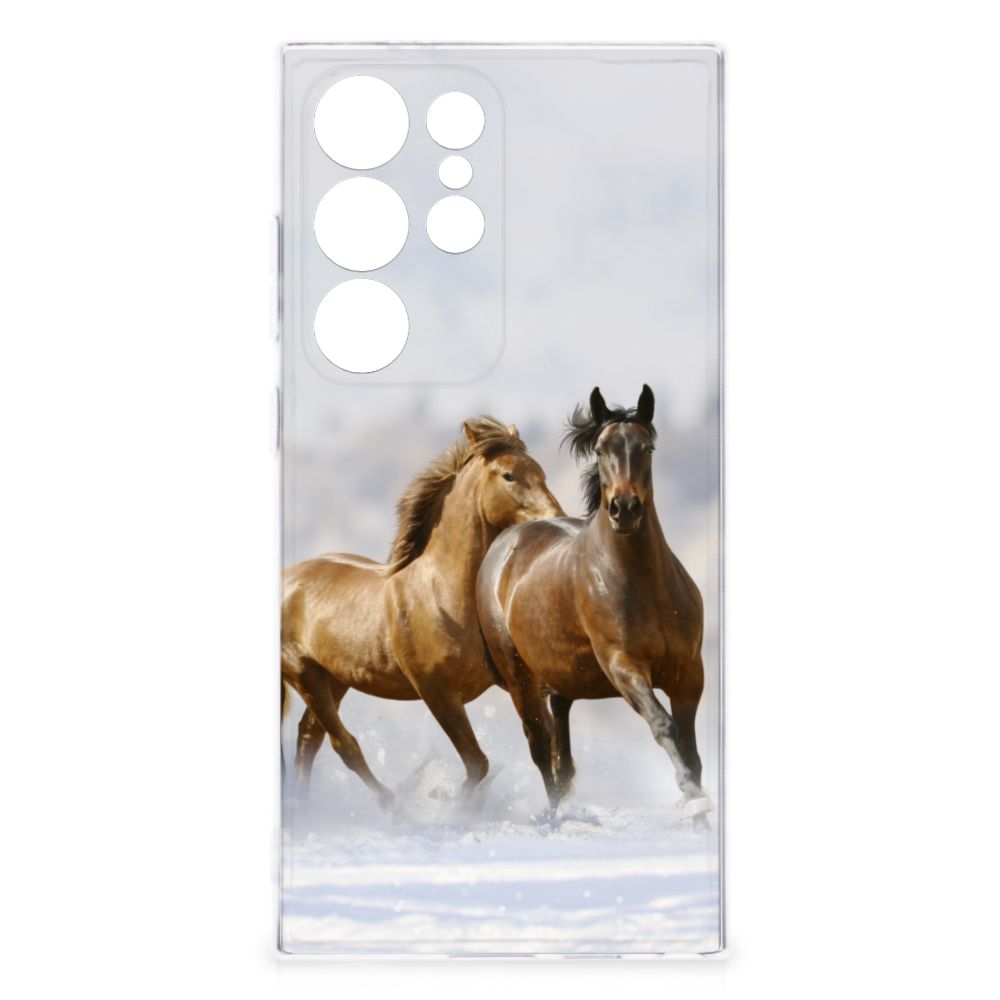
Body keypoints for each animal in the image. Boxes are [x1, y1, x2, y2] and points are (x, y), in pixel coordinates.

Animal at [281, 417, 564, 808]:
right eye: (508, 475)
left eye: (541, 472)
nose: (556, 520)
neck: (442, 595)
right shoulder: (437, 692)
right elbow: (478, 763)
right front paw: (450, 803)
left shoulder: (515, 681)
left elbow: (543, 744)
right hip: (304, 674)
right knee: (343, 744)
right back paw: (392, 804)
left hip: (334, 678)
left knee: (310, 737)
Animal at [476, 386, 712, 821]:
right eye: (601, 450)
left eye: (647, 447)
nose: (625, 509)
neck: (645, 587)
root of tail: (505, 543)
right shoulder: (623, 667)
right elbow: (663, 725)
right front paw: (690, 795)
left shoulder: (689, 673)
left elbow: (690, 748)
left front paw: (700, 811)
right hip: (519, 677)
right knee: (541, 747)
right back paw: (555, 816)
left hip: (561, 675)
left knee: (561, 745)